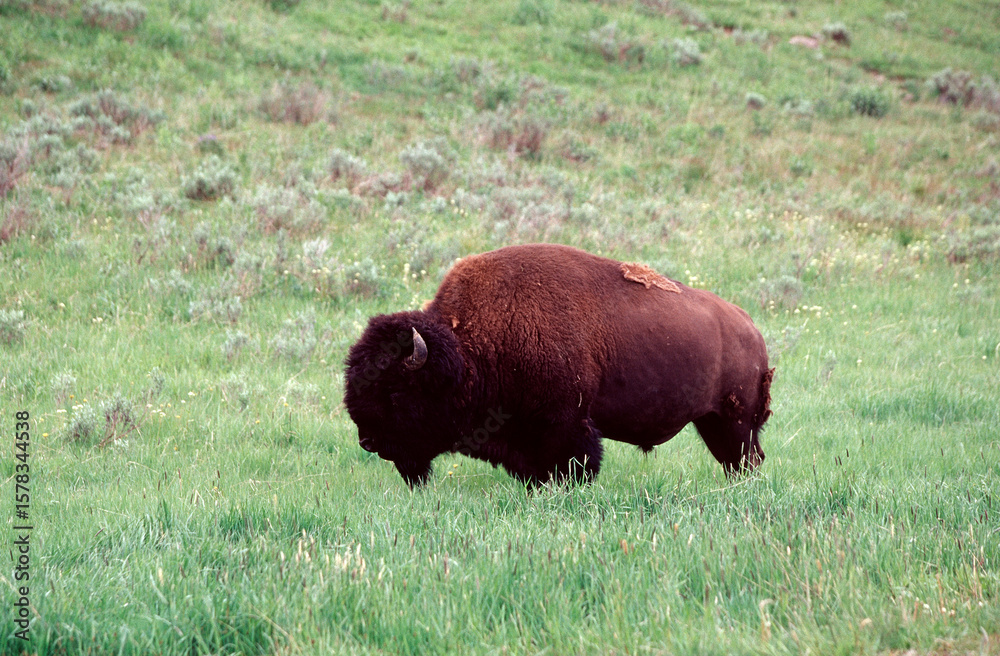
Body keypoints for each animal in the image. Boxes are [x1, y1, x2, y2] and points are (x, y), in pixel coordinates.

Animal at [344, 243, 773, 487]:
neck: (469, 351)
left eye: (396, 392)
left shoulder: (565, 425)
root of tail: (750, 328)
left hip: (734, 422)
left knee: (743, 460)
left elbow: (574, 464)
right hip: (714, 422)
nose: (368, 441)